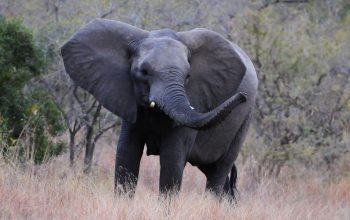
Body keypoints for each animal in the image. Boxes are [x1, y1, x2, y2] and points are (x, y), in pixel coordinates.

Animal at [59, 18, 258, 198]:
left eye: (188, 76)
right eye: (144, 72)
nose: (242, 97)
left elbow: (172, 161)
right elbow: (126, 153)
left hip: (244, 121)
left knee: (218, 171)